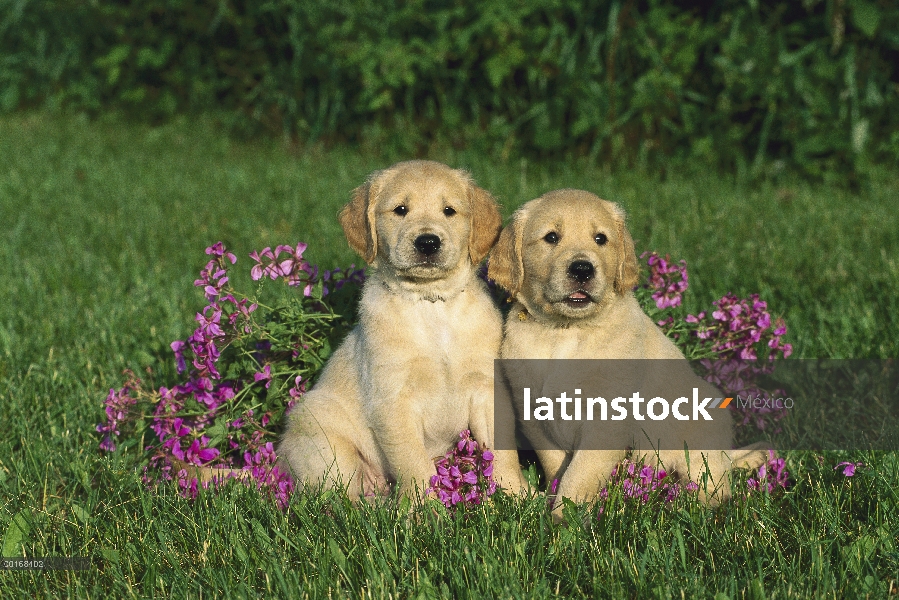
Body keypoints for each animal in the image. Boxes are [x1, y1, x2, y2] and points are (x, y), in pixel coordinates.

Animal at [276, 161, 528, 502]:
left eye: (449, 211)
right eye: (400, 210)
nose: (428, 243)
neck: (430, 305)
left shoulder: (486, 387)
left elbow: (503, 452)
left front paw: (518, 495)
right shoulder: (393, 400)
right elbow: (413, 462)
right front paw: (425, 508)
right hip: (324, 442)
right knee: (341, 497)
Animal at [488, 191, 768, 516]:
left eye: (600, 239)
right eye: (551, 237)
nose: (582, 269)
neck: (566, 331)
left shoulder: (607, 421)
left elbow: (578, 475)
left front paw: (565, 519)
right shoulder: (534, 415)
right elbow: (558, 465)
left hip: (701, 437)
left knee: (715, 485)